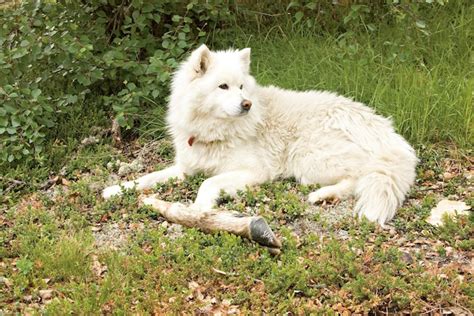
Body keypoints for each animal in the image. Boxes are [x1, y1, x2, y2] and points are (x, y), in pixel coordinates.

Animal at [103, 45, 414, 226]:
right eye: (223, 87)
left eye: (241, 86)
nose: (247, 104)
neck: (215, 130)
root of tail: (387, 133)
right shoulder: (185, 168)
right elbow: (147, 178)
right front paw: (115, 189)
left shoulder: (254, 171)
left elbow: (209, 183)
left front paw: (200, 209)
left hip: (309, 159)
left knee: (357, 178)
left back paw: (322, 195)